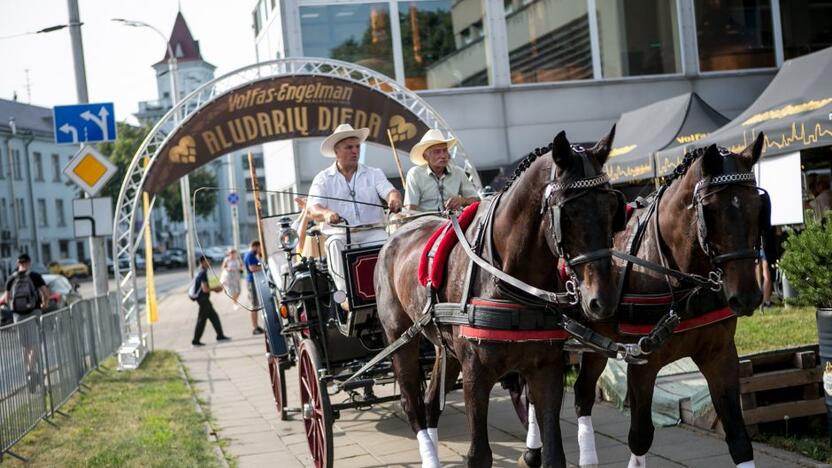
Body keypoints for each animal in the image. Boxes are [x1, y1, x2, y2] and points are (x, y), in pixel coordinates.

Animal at [376, 129, 624, 468]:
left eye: (613, 208)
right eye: (568, 213)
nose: (603, 299)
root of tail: (397, 235)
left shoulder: (546, 369)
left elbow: (554, 453)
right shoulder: (476, 375)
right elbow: (479, 454)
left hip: (445, 349)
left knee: (430, 403)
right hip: (401, 339)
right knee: (412, 403)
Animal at [520, 134, 768, 468]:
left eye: (758, 207)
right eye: (711, 211)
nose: (748, 296)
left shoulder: (720, 354)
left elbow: (739, 437)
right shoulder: (642, 362)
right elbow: (640, 435)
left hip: (595, 341)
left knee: (582, 393)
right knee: (535, 393)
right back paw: (533, 451)